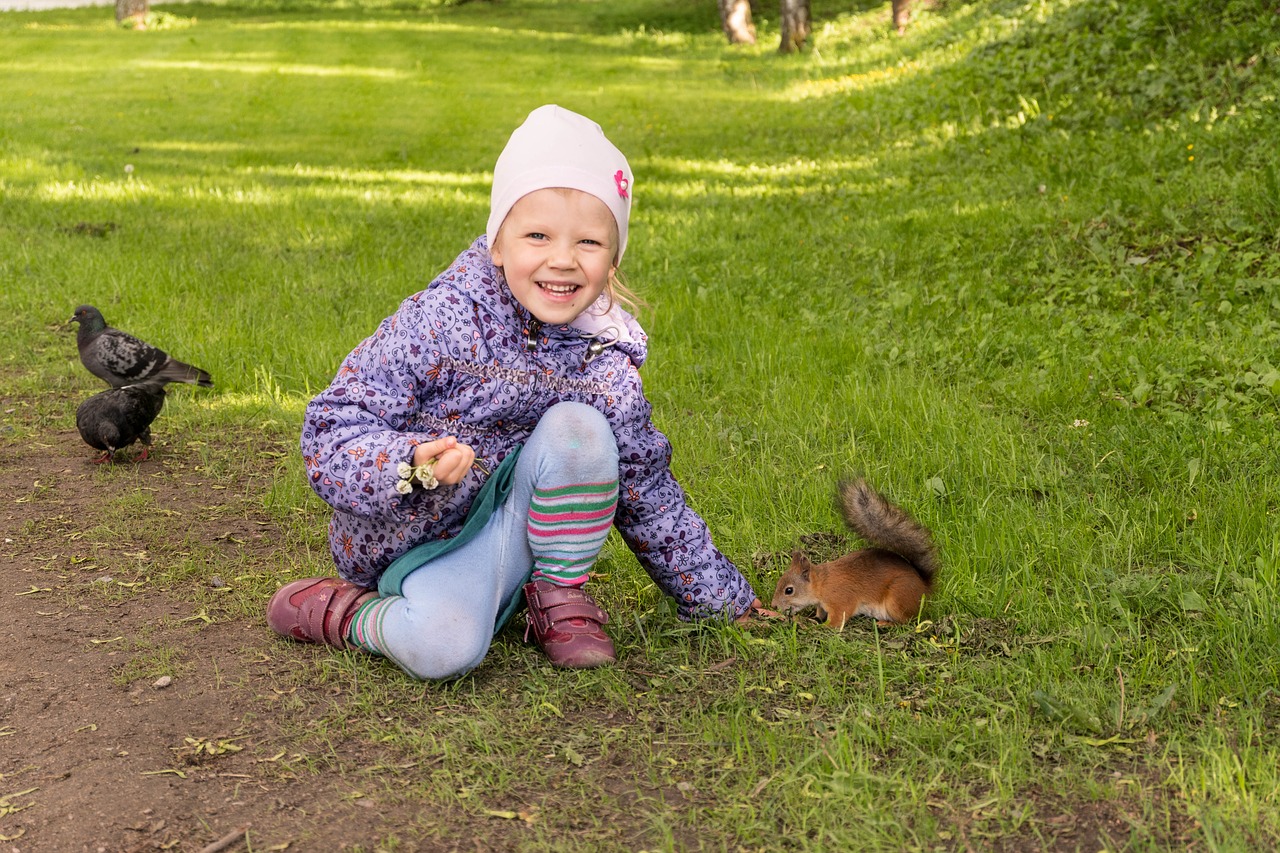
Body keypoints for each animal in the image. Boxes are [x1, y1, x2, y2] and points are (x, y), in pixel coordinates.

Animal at [768, 473, 942, 627]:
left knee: (908, 621)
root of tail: (924, 588)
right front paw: (813, 619)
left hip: (897, 599)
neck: (821, 584)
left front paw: (821, 627)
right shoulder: (821, 605)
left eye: (789, 590)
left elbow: (837, 619)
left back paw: (886, 624)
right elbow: (820, 613)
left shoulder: (840, 600)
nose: (773, 606)